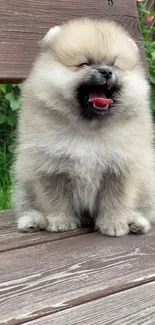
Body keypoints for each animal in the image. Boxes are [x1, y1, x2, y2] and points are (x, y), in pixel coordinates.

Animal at [13, 17, 154, 235]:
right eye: (84, 64)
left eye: (114, 64)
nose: (106, 71)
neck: (88, 129)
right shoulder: (50, 166)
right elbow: (55, 199)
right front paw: (61, 221)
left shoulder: (120, 167)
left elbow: (116, 200)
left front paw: (114, 224)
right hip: (25, 186)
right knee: (30, 204)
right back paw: (33, 220)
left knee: (143, 209)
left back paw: (136, 222)